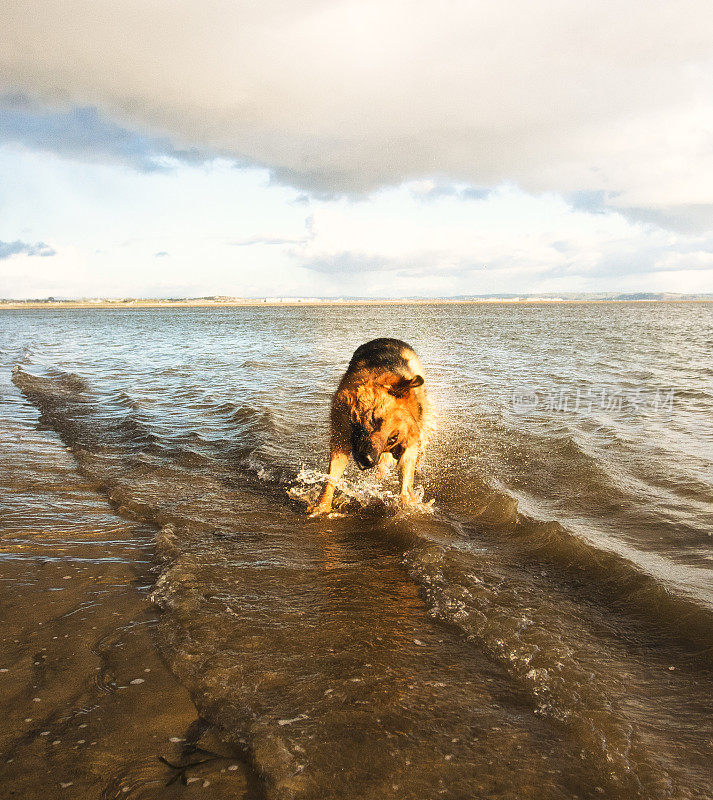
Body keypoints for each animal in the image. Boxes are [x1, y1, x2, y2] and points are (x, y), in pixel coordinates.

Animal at [308, 336, 432, 512]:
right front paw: (322, 507)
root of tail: (389, 338)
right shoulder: (341, 439)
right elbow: (331, 479)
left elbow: (406, 484)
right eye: (375, 420)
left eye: (392, 439)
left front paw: (408, 505)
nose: (368, 460)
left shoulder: (409, 446)